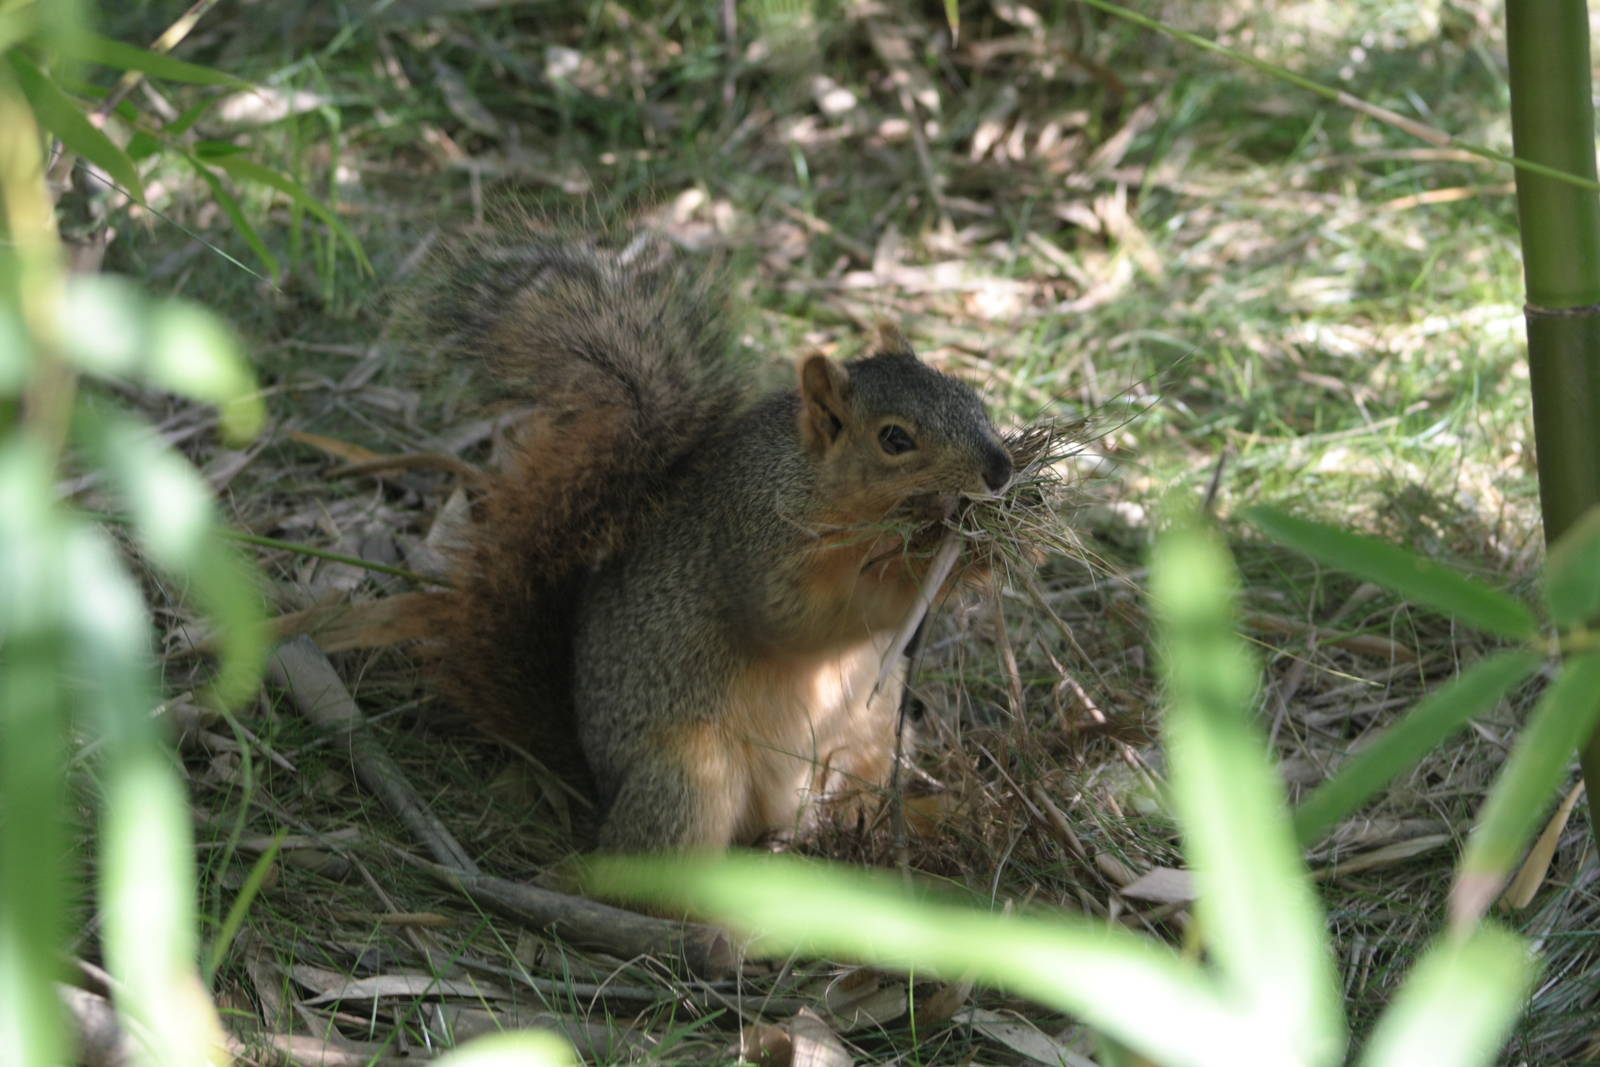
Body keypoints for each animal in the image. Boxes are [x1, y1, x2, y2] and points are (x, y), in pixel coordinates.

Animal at [422, 226, 1014, 853]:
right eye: (895, 439)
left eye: (973, 398)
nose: (1001, 469)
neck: (814, 483)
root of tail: (601, 791)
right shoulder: (753, 541)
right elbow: (797, 618)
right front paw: (928, 560)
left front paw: (980, 556)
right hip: (691, 774)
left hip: (876, 728)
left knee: (862, 802)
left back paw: (928, 817)